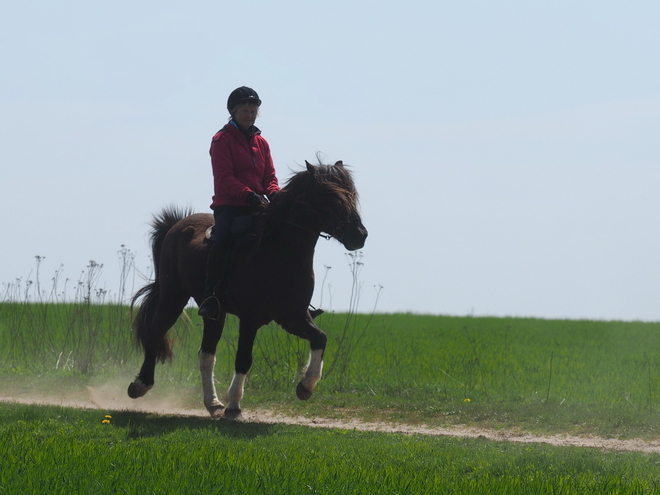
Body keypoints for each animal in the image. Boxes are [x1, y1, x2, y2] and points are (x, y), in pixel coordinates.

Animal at [126, 162, 368, 418]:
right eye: (330, 197)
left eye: (352, 195)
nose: (360, 235)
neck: (280, 253)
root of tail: (177, 224)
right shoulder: (251, 319)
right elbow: (243, 359)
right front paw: (234, 404)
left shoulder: (293, 317)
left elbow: (320, 337)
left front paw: (306, 386)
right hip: (173, 297)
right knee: (155, 333)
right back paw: (140, 385)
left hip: (215, 312)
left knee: (206, 354)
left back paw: (213, 403)